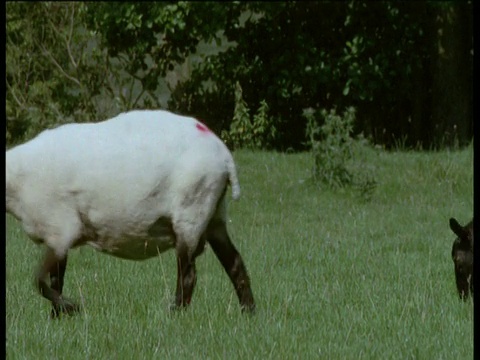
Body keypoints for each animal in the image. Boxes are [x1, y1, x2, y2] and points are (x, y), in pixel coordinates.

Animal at [5, 109, 256, 318]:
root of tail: (224, 156)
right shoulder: (57, 236)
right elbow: (56, 278)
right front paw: (58, 317)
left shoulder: (61, 228)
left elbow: (39, 280)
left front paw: (71, 307)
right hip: (214, 215)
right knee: (236, 264)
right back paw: (248, 313)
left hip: (192, 210)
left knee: (188, 274)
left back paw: (174, 315)